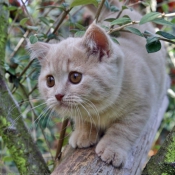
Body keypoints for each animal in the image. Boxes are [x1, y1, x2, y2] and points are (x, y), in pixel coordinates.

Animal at [27, 0, 167, 168]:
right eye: (50, 81)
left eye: (75, 77)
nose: (58, 95)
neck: (101, 110)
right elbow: (83, 119)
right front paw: (84, 133)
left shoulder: (141, 107)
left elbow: (124, 129)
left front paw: (112, 148)